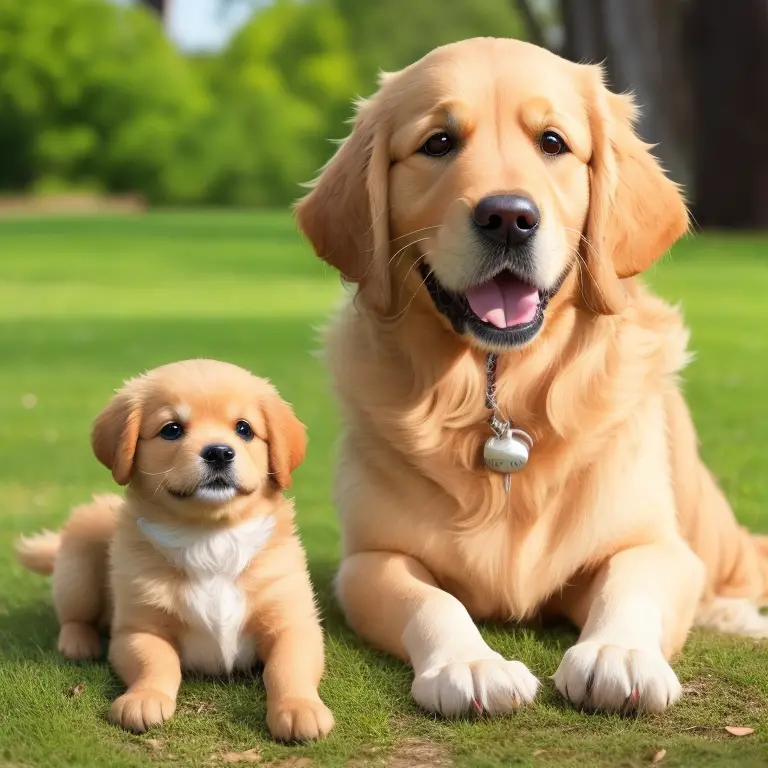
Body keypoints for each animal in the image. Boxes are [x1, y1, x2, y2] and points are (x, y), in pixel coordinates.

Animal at [14, 364, 332, 740]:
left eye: (244, 429)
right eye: (172, 430)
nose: (219, 452)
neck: (209, 537)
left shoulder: (293, 622)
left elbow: (287, 666)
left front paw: (299, 707)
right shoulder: (138, 630)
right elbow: (157, 662)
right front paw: (144, 698)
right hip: (77, 568)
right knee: (73, 616)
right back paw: (78, 643)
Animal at [294, 37, 768, 720]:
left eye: (552, 142)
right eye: (438, 142)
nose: (508, 217)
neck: (499, 392)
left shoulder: (657, 547)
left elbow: (631, 585)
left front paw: (618, 654)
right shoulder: (371, 560)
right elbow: (433, 601)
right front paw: (470, 664)